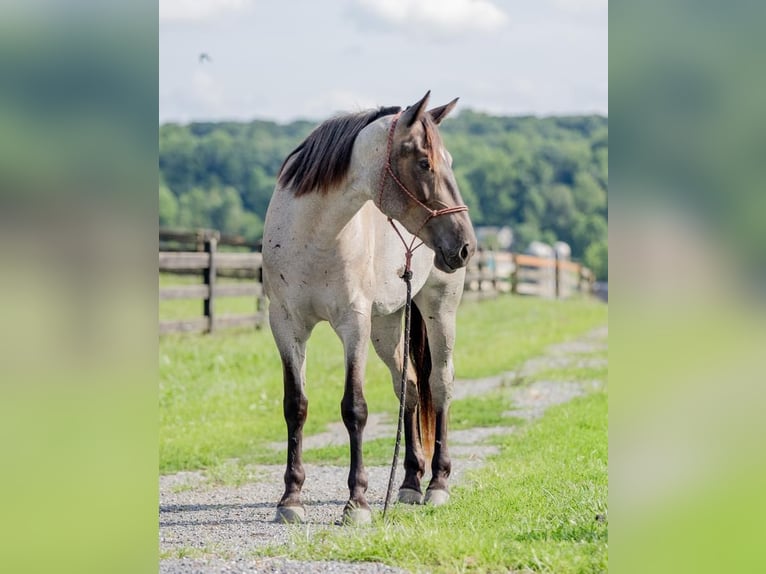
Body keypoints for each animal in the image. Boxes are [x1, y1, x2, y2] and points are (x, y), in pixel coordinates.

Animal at [266, 93, 480, 528]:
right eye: (424, 163)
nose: (466, 246)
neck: (311, 236)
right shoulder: (285, 326)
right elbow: (295, 406)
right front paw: (291, 498)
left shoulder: (354, 325)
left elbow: (355, 408)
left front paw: (357, 503)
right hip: (387, 325)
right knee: (409, 388)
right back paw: (410, 482)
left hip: (438, 311)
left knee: (440, 385)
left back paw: (437, 484)